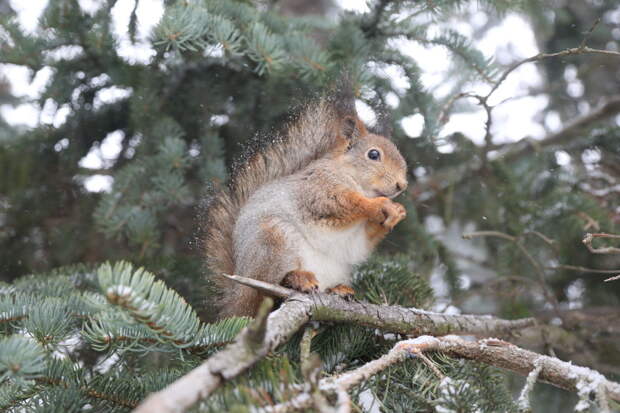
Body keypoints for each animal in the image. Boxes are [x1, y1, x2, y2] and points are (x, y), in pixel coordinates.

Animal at [203, 89, 406, 316]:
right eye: (373, 154)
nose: (402, 185)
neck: (348, 174)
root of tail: (237, 298)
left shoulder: (356, 237)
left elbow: (360, 243)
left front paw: (398, 212)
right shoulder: (317, 188)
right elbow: (345, 203)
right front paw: (379, 205)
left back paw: (339, 289)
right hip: (273, 240)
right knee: (267, 288)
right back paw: (298, 279)